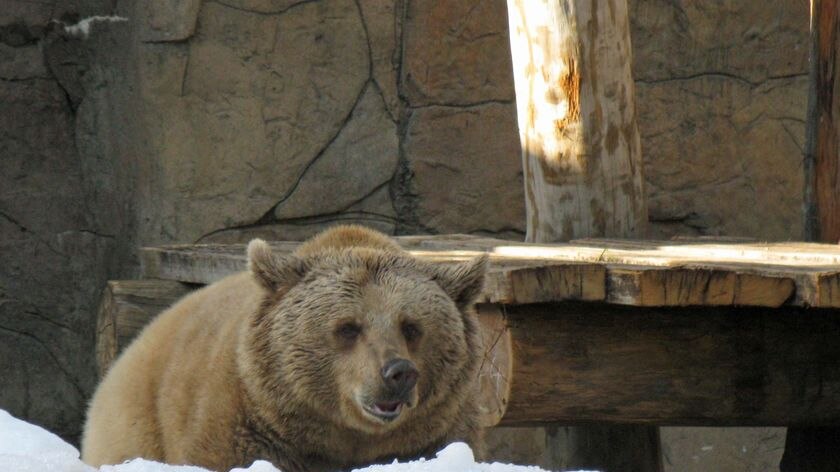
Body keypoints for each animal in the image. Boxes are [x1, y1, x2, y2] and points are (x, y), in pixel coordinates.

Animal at [82, 227, 488, 470]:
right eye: (348, 327)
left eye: (411, 326)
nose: (398, 373)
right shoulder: (238, 423)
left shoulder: (439, 432)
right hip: (139, 421)